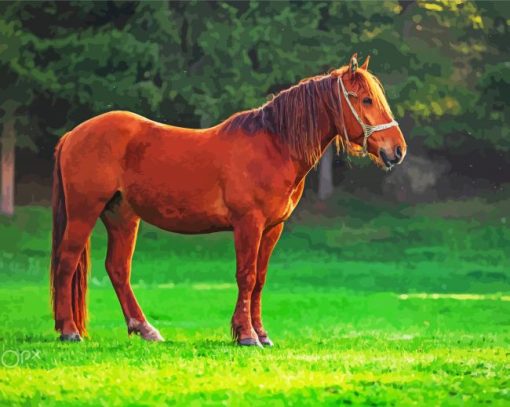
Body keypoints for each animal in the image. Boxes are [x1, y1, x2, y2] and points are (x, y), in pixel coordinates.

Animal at [50, 53, 406, 348]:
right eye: (366, 99)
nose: (398, 150)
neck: (273, 146)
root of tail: (73, 134)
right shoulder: (248, 224)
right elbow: (245, 276)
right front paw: (246, 336)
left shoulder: (272, 229)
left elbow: (259, 279)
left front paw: (262, 334)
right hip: (84, 211)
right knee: (67, 262)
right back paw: (69, 331)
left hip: (122, 216)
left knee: (118, 269)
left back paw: (144, 329)